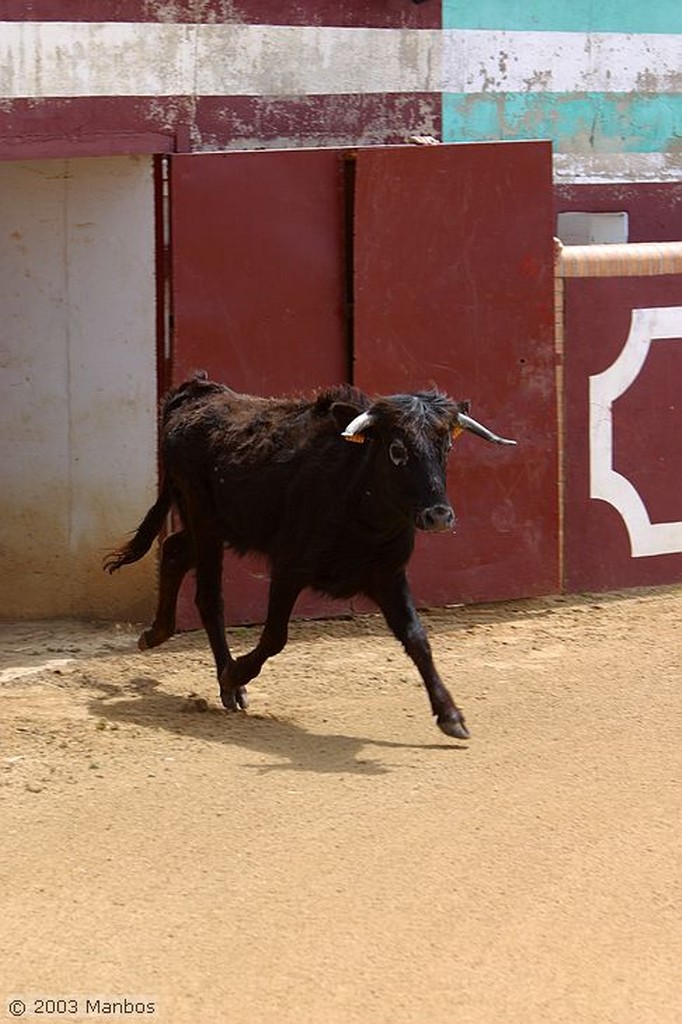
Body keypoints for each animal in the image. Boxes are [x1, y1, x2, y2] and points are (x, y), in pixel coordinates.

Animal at [103, 372, 512, 741]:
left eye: (446, 448)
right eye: (397, 451)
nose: (438, 516)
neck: (358, 503)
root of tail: (197, 392)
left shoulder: (388, 575)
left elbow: (417, 638)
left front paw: (450, 715)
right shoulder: (289, 568)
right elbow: (274, 636)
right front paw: (234, 674)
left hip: (217, 527)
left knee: (173, 552)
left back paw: (156, 634)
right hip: (204, 522)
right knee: (208, 597)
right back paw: (229, 685)